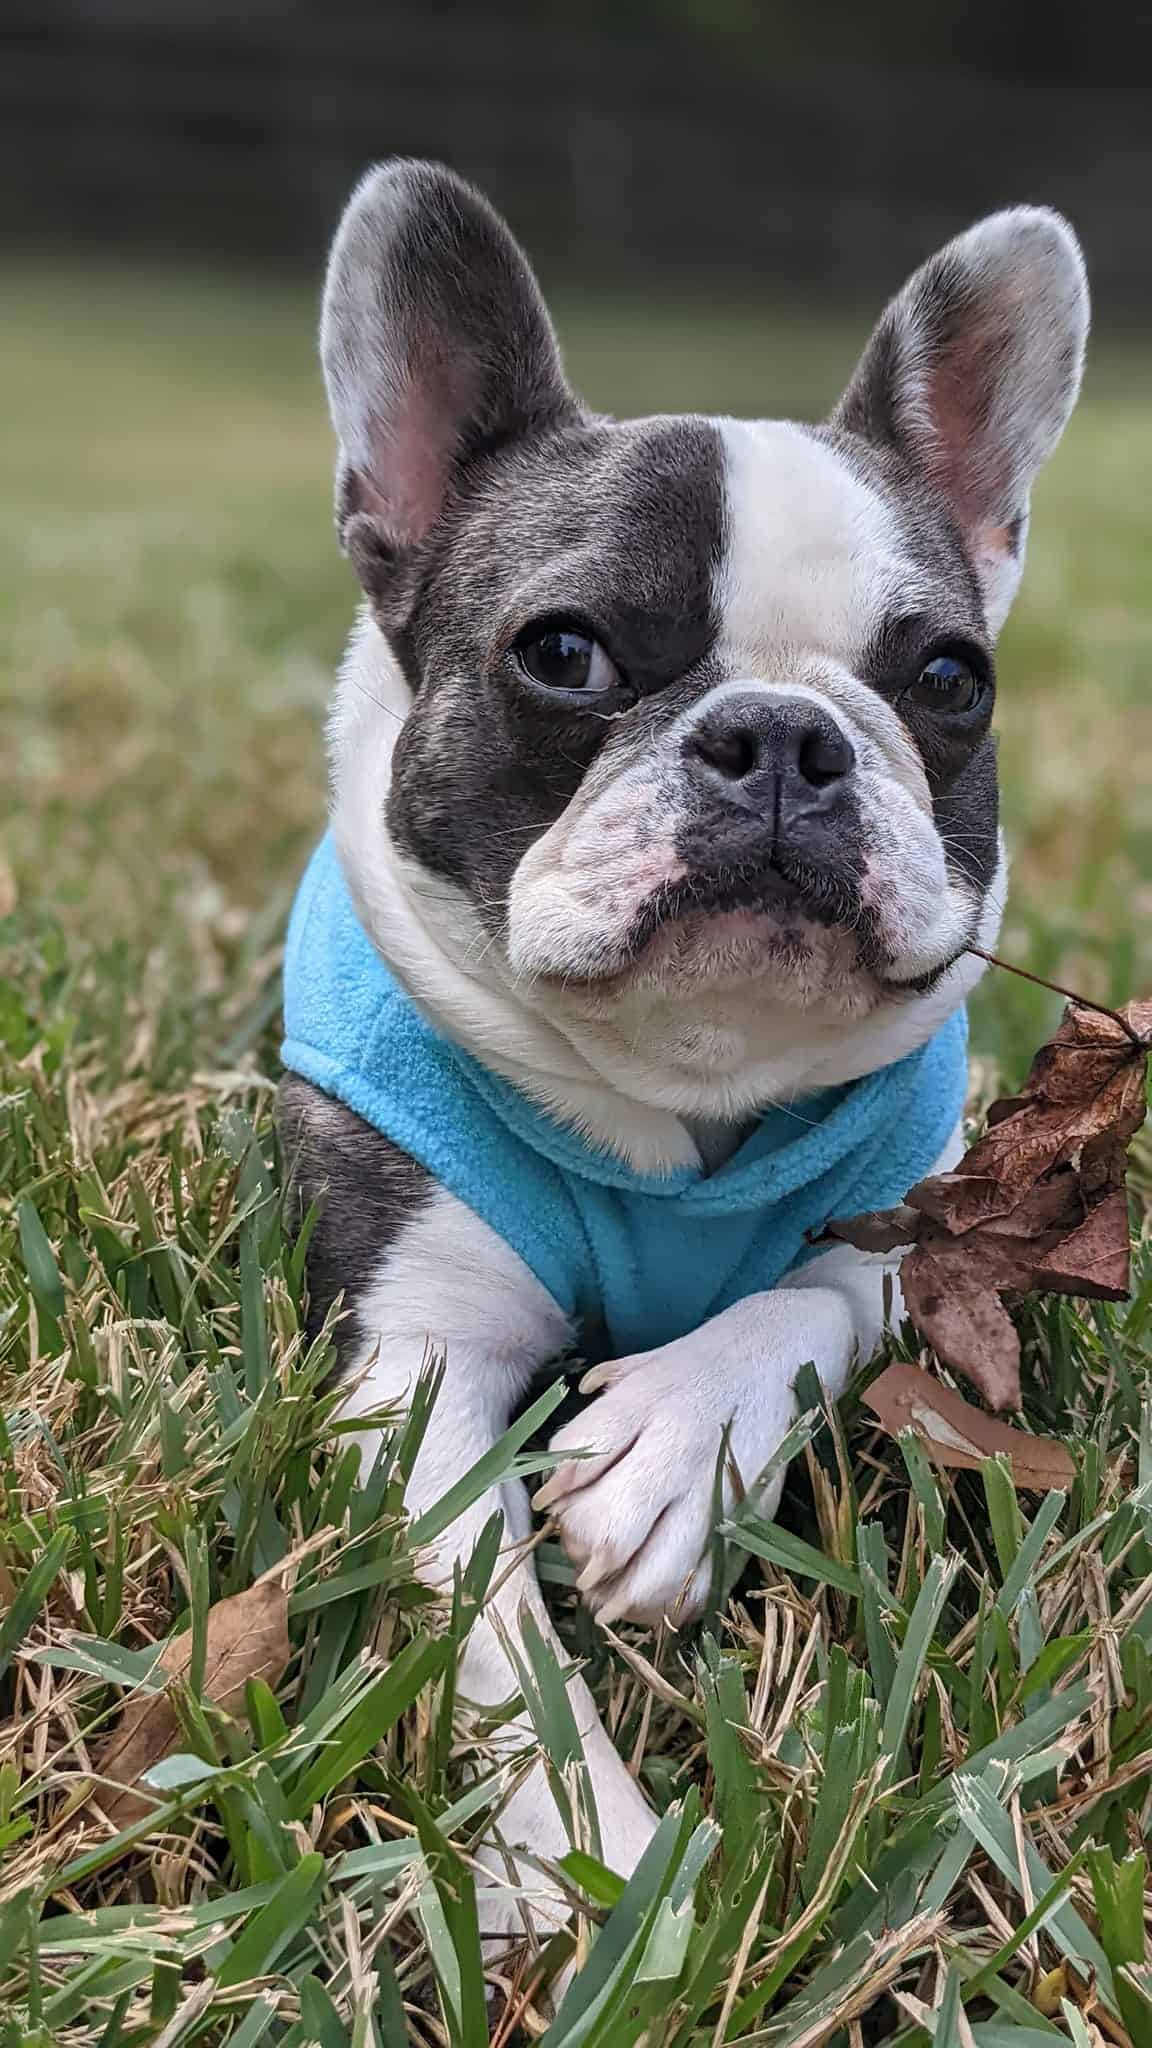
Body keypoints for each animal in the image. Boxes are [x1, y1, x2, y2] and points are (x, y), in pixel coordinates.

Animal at [278, 163, 1082, 1949]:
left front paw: (677, 1439)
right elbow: (489, 1643)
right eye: (564, 653)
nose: (781, 734)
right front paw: (594, 1867)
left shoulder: (923, 1227)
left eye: (952, 680)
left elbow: (813, 1303)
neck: (682, 1092)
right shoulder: (410, 1372)